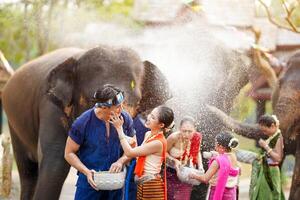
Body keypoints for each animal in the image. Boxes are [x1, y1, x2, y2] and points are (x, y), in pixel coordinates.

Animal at [1, 45, 171, 200]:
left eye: (136, 101)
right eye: (93, 99)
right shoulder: (50, 107)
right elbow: (56, 162)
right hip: (14, 123)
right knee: (28, 172)